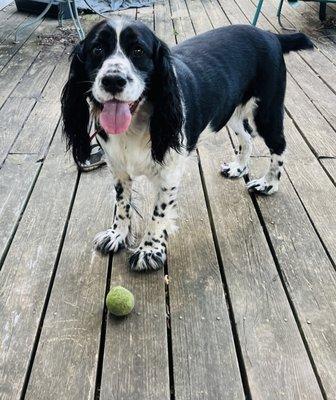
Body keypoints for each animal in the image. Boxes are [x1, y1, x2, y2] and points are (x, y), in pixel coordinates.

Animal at [59, 17, 312, 270]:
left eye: (138, 50)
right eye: (97, 49)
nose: (112, 80)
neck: (135, 125)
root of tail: (270, 35)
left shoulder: (169, 174)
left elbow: (158, 213)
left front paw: (149, 250)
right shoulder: (118, 169)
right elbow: (122, 205)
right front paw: (117, 235)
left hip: (267, 111)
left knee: (278, 145)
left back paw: (268, 184)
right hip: (230, 112)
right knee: (246, 137)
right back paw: (238, 168)